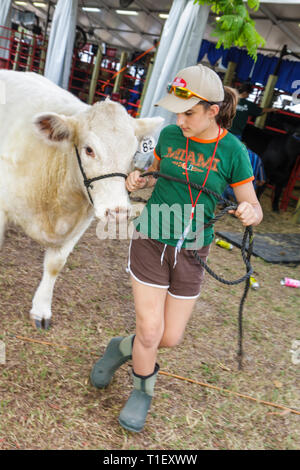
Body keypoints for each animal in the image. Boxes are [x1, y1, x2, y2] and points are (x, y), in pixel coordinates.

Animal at [0, 70, 163, 326]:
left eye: (132, 154)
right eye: (89, 150)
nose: (118, 212)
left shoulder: (83, 221)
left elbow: (55, 265)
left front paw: (41, 308)